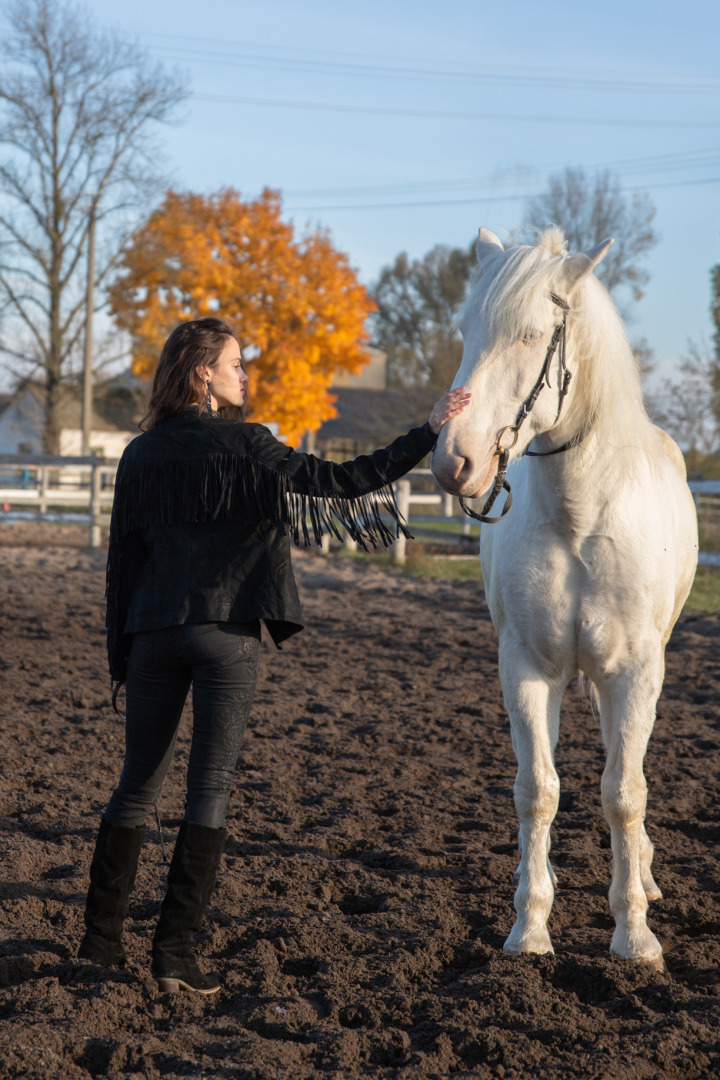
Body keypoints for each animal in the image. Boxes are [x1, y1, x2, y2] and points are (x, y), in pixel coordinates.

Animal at [433, 225, 699, 963]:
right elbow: (538, 791)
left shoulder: (635, 672)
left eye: (530, 335)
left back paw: (643, 874)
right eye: (466, 330)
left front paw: (634, 933)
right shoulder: (526, 667)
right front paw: (530, 925)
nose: (454, 461)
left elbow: (624, 793)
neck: (582, 517)